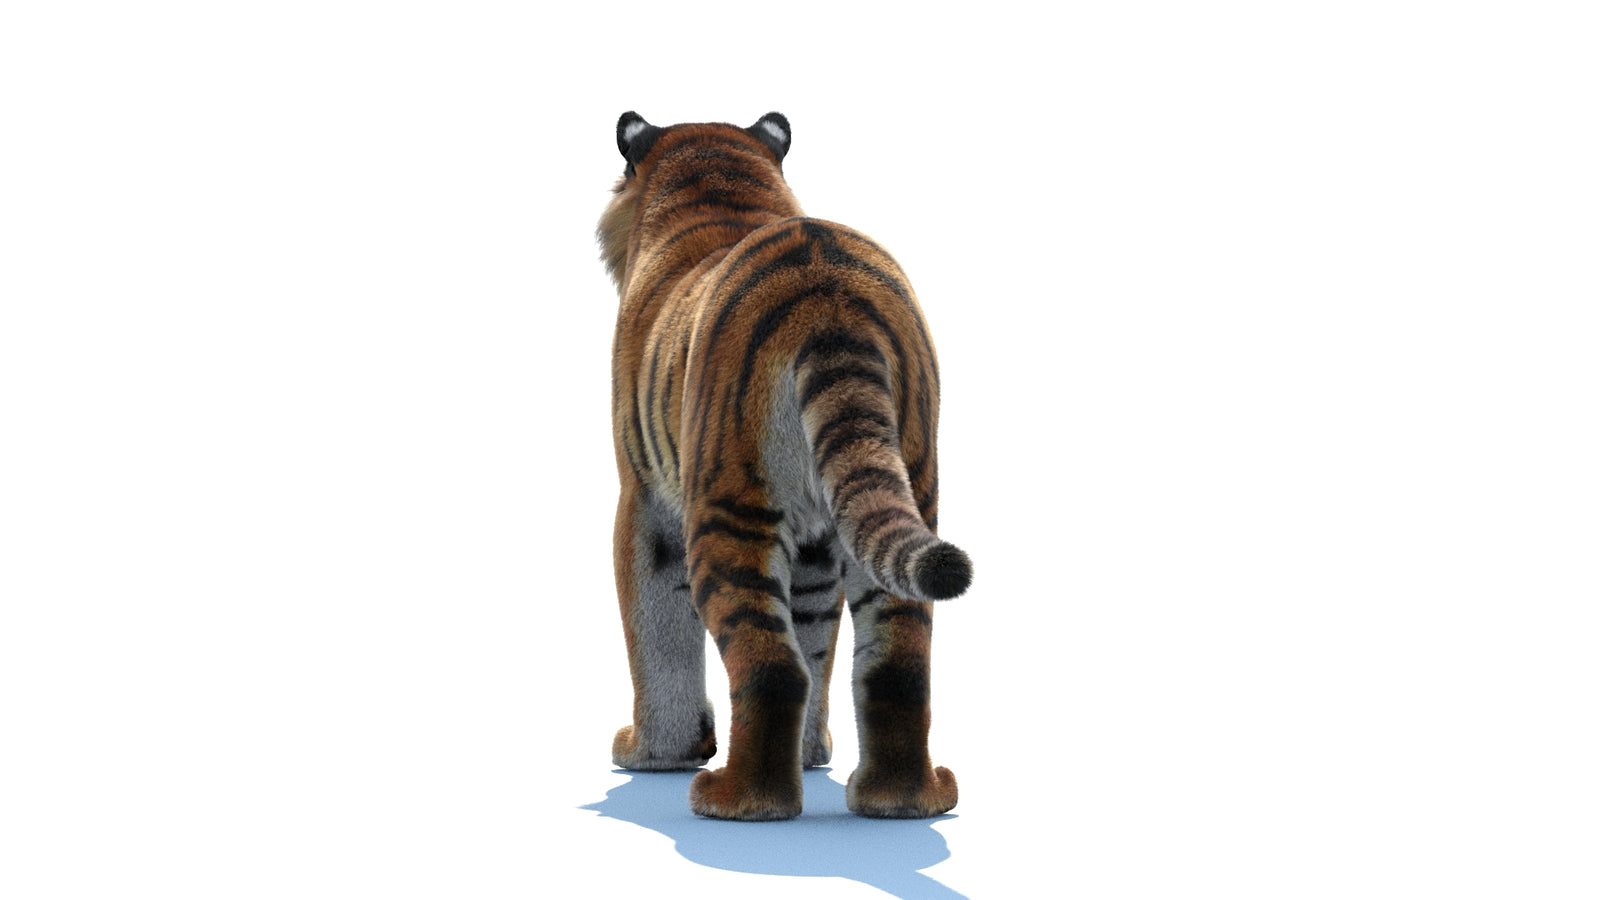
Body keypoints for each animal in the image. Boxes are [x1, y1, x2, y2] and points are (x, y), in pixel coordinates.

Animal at [597, 110, 971, 820]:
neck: (719, 188)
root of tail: (829, 293)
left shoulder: (645, 503)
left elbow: (655, 635)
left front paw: (653, 753)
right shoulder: (821, 539)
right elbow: (818, 638)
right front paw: (811, 753)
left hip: (727, 510)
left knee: (771, 665)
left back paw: (737, 800)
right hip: (908, 486)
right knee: (899, 661)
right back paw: (903, 799)